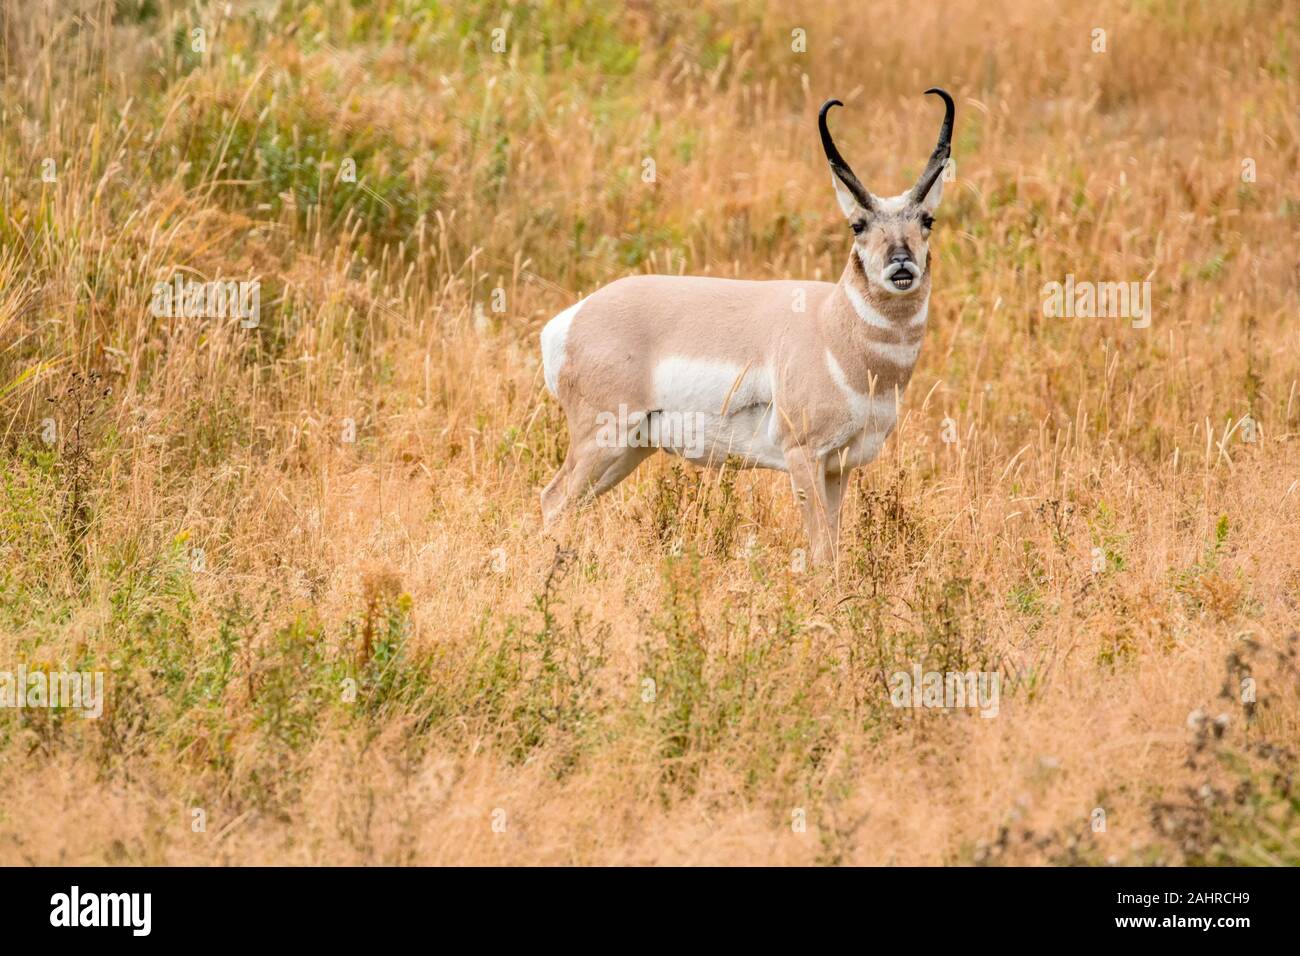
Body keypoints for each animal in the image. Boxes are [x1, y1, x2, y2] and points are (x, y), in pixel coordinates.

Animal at [538, 87, 956, 567]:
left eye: (927, 219)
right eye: (858, 224)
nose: (901, 264)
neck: (831, 325)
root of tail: (571, 319)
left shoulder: (840, 467)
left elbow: (833, 551)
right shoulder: (804, 458)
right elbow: (819, 553)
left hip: (628, 451)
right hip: (602, 440)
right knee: (553, 499)